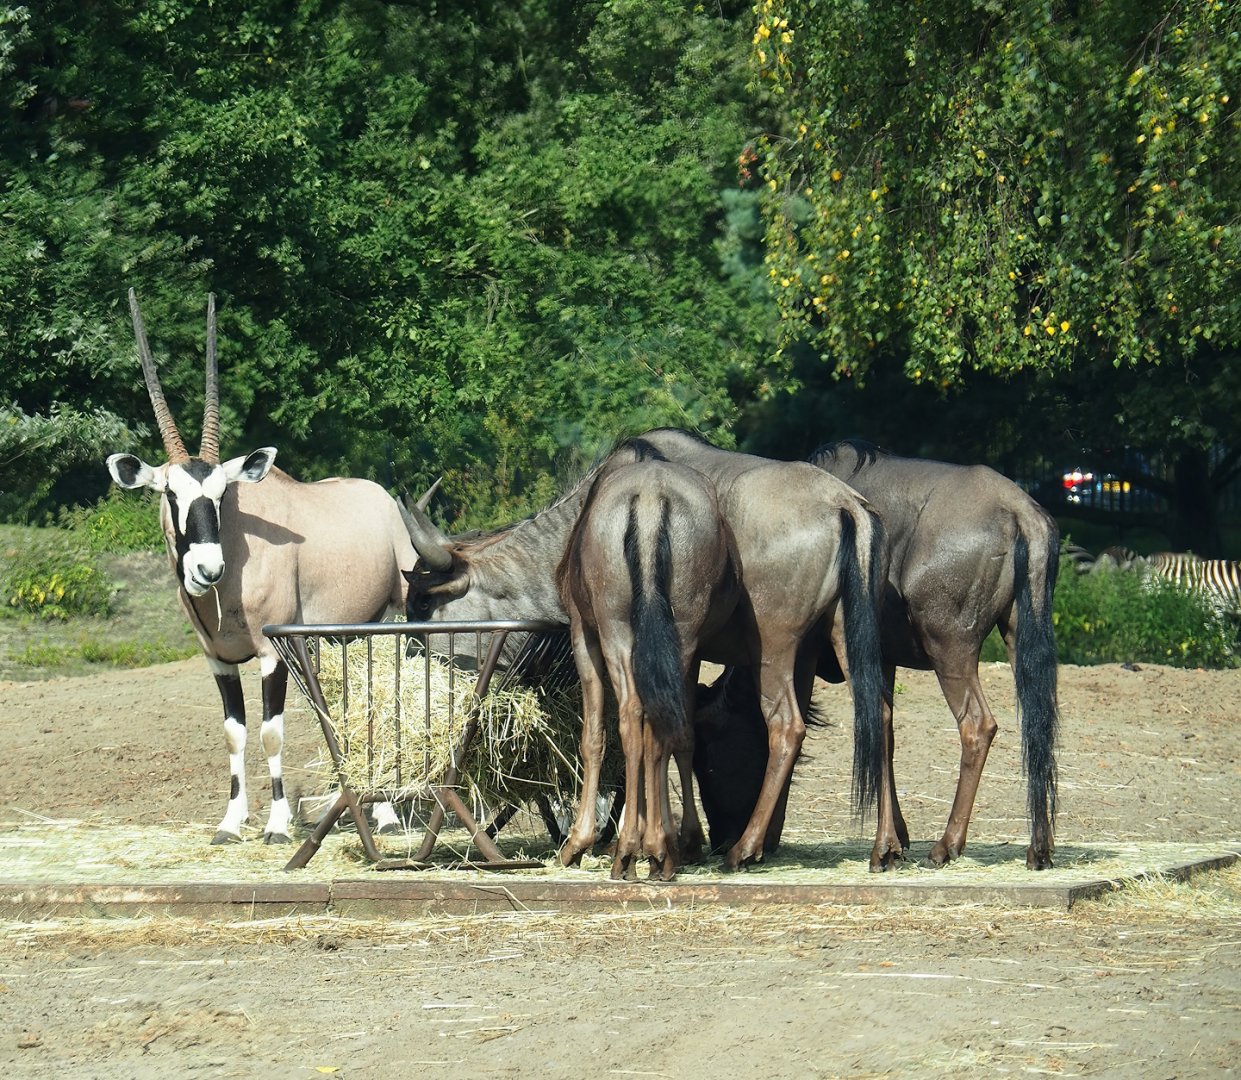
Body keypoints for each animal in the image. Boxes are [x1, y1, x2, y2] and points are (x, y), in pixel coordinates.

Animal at [107, 290, 417, 844]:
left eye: (221, 494)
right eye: (170, 494)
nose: (207, 569)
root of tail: (382, 497)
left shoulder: (274, 653)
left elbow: (272, 733)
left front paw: (276, 825)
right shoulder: (220, 660)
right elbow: (235, 733)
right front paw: (230, 822)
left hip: (391, 622)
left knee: (378, 702)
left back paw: (383, 814)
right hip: (345, 637)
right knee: (343, 706)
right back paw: (348, 803)